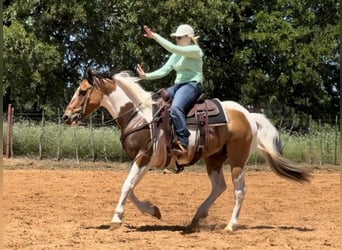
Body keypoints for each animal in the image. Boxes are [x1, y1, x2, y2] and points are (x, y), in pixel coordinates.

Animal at [62, 69, 312, 232]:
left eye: (82, 92)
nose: (66, 116)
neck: (139, 116)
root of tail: (248, 115)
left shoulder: (144, 158)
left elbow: (126, 186)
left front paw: (116, 219)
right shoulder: (142, 161)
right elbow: (130, 188)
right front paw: (153, 210)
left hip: (237, 160)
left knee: (239, 190)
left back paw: (230, 226)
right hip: (214, 159)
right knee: (219, 187)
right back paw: (197, 218)